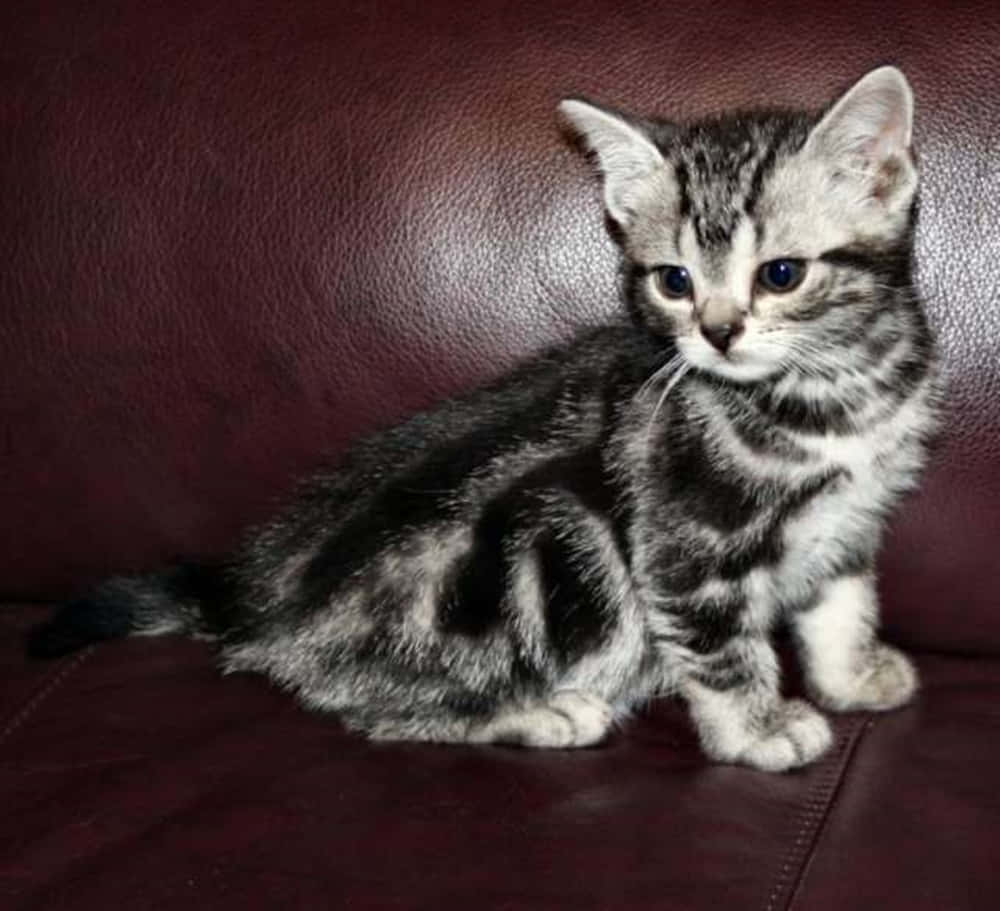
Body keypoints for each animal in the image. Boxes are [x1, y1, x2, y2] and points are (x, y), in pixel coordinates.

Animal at [29, 67, 936, 772]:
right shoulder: (688, 550)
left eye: (781, 273)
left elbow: (839, 603)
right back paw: (543, 711)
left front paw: (853, 674)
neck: (834, 393)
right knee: (362, 708)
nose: (716, 333)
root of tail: (259, 598)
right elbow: (723, 651)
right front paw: (758, 729)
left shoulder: (849, 521)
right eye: (673, 280)